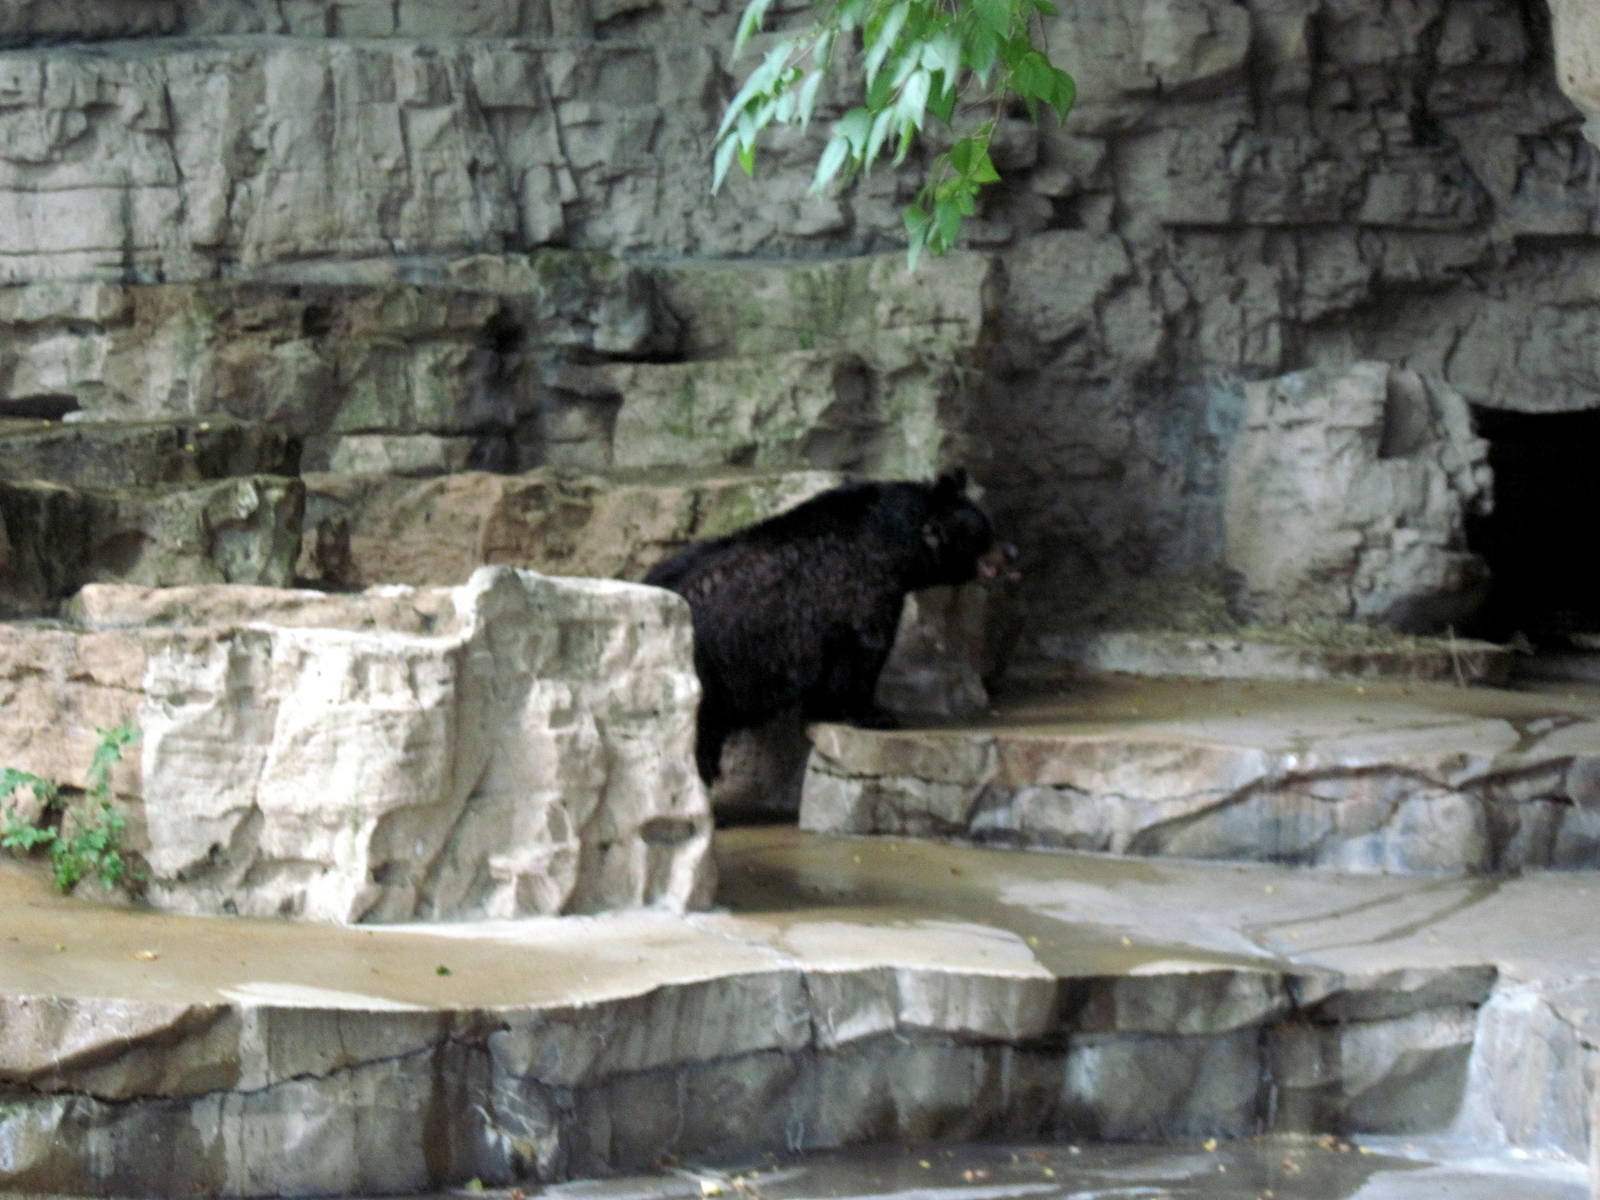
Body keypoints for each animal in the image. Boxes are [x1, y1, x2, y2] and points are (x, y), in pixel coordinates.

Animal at [643, 470, 1017, 783]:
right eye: (984, 530)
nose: (1012, 553)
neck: (896, 547)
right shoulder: (863, 592)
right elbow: (866, 653)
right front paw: (876, 714)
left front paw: (827, 710)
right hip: (709, 667)